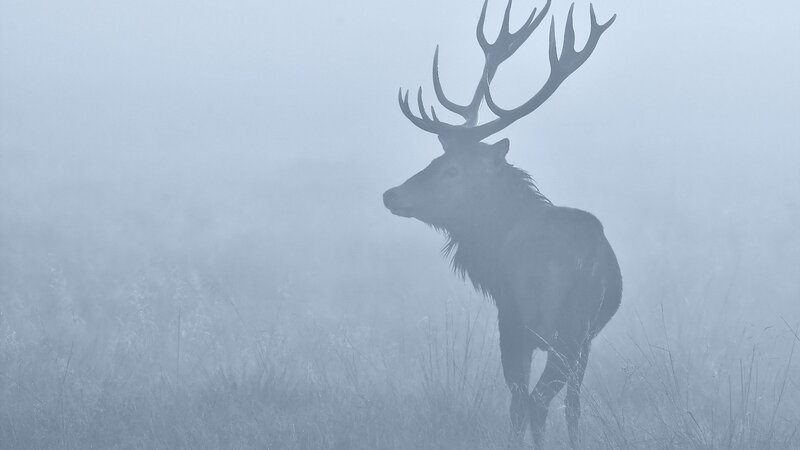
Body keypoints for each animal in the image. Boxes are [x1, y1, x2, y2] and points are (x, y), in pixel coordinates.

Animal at [382, 0, 621, 447]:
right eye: (437, 160)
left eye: (451, 169)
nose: (391, 194)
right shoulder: (585, 339)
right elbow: (573, 409)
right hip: (563, 328)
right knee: (541, 401)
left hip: (532, 325)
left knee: (526, 400)